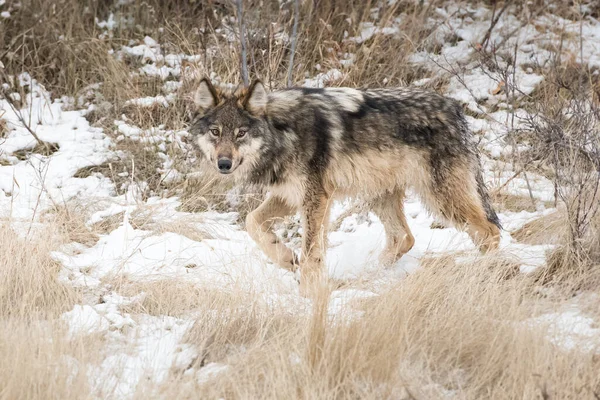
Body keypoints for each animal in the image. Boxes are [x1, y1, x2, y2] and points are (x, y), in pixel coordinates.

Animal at [188, 78, 502, 296]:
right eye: (216, 132)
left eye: (241, 133)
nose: (224, 163)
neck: (283, 133)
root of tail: (455, 109)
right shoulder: (289, 195)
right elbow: (253, 222)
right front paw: (287, 258)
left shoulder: (316, 197)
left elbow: (312, 252)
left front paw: (307, 295)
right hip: (381, 196)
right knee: (404, 238)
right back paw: (366, 276)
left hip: (442, 201)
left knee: (490, 232)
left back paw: (483, 275)